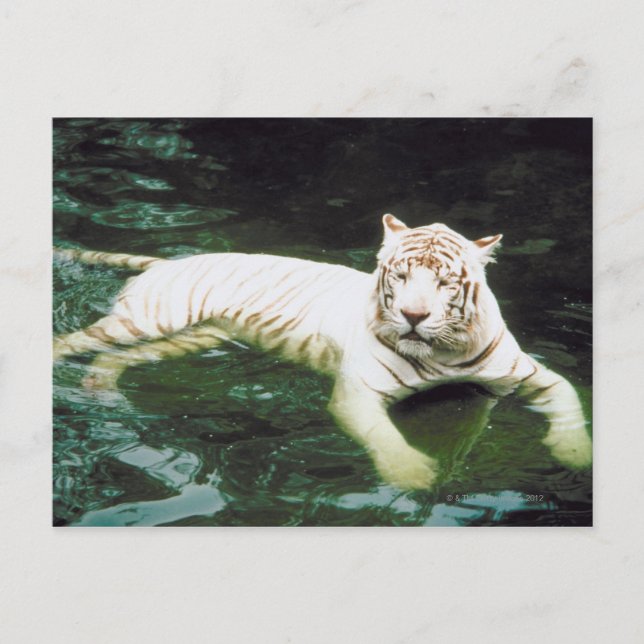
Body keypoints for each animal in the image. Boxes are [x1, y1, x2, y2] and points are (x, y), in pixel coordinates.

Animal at [53, 214, 592, 490]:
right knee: (71, 343)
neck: (443, 353)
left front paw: (576, 456)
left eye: (443, 283)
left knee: (111, 361)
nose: (414, 316)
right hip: (148, 320)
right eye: (401, 276)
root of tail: (167, 262)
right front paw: (414, 475)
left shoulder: (527, 374)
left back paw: (102, 391)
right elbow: (385, 437)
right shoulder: (359, 394)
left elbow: (570, 399)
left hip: (195, 337)